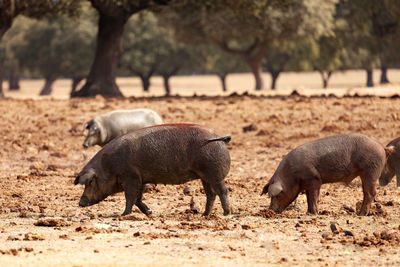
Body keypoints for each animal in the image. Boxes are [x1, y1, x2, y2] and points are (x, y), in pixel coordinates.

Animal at [74, 124, 231, 217]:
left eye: (90, 182)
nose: (80, 203)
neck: (108, 165)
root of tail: (218, 137)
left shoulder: (130, 177)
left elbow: (130, 197)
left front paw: (123, 214)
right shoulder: (141, 179)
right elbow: (138, 199)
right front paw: (149, 213)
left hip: (214, 173)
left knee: (222, 191)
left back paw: (226, 213)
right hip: (205, 176)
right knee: (211, 194)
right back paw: (204, 215)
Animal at [260, 133, 392, 217]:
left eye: (277, 195)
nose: (270, 210)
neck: (291, 176)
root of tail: (382, 147)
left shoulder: (314, 179)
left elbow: (313, 196)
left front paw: (313, 213)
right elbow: (309, 197)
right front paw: (309, 212)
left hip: (371, 171)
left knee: (370, 193)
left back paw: (361, 214)